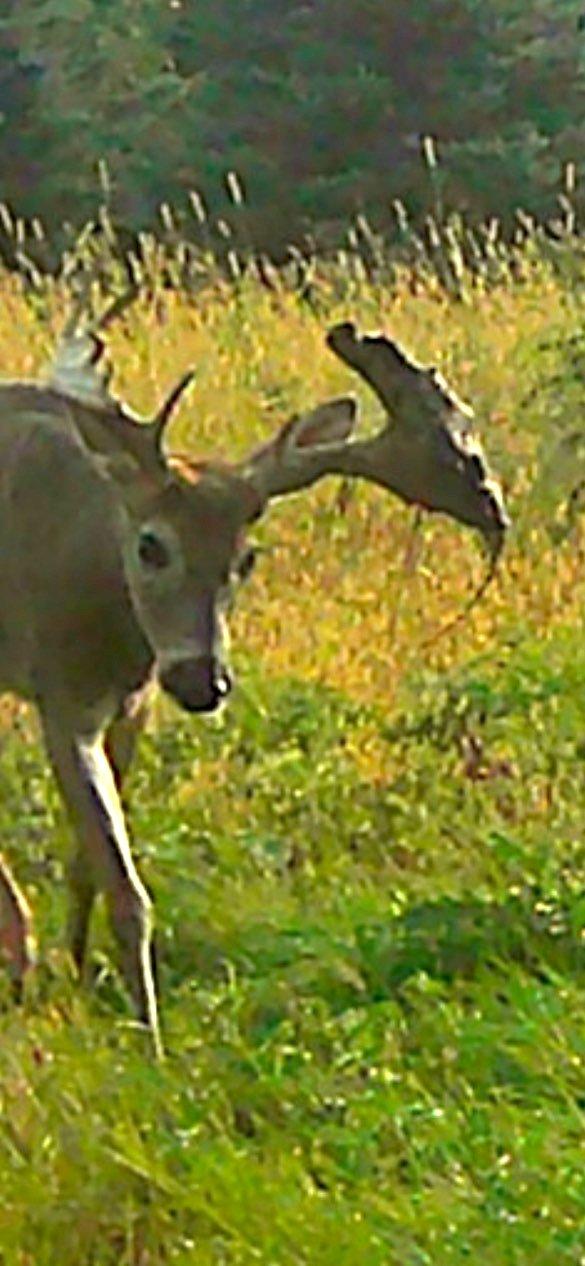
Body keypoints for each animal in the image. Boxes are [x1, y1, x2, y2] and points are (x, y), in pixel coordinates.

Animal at [0, 301, 506, 1053]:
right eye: (152, 545)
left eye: (246, 558)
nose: (202, 680)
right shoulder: (62, 696)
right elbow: (126, 889)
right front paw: (147, 1039)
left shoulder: (129, 701)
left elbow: (91, 865)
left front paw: (85, 979)